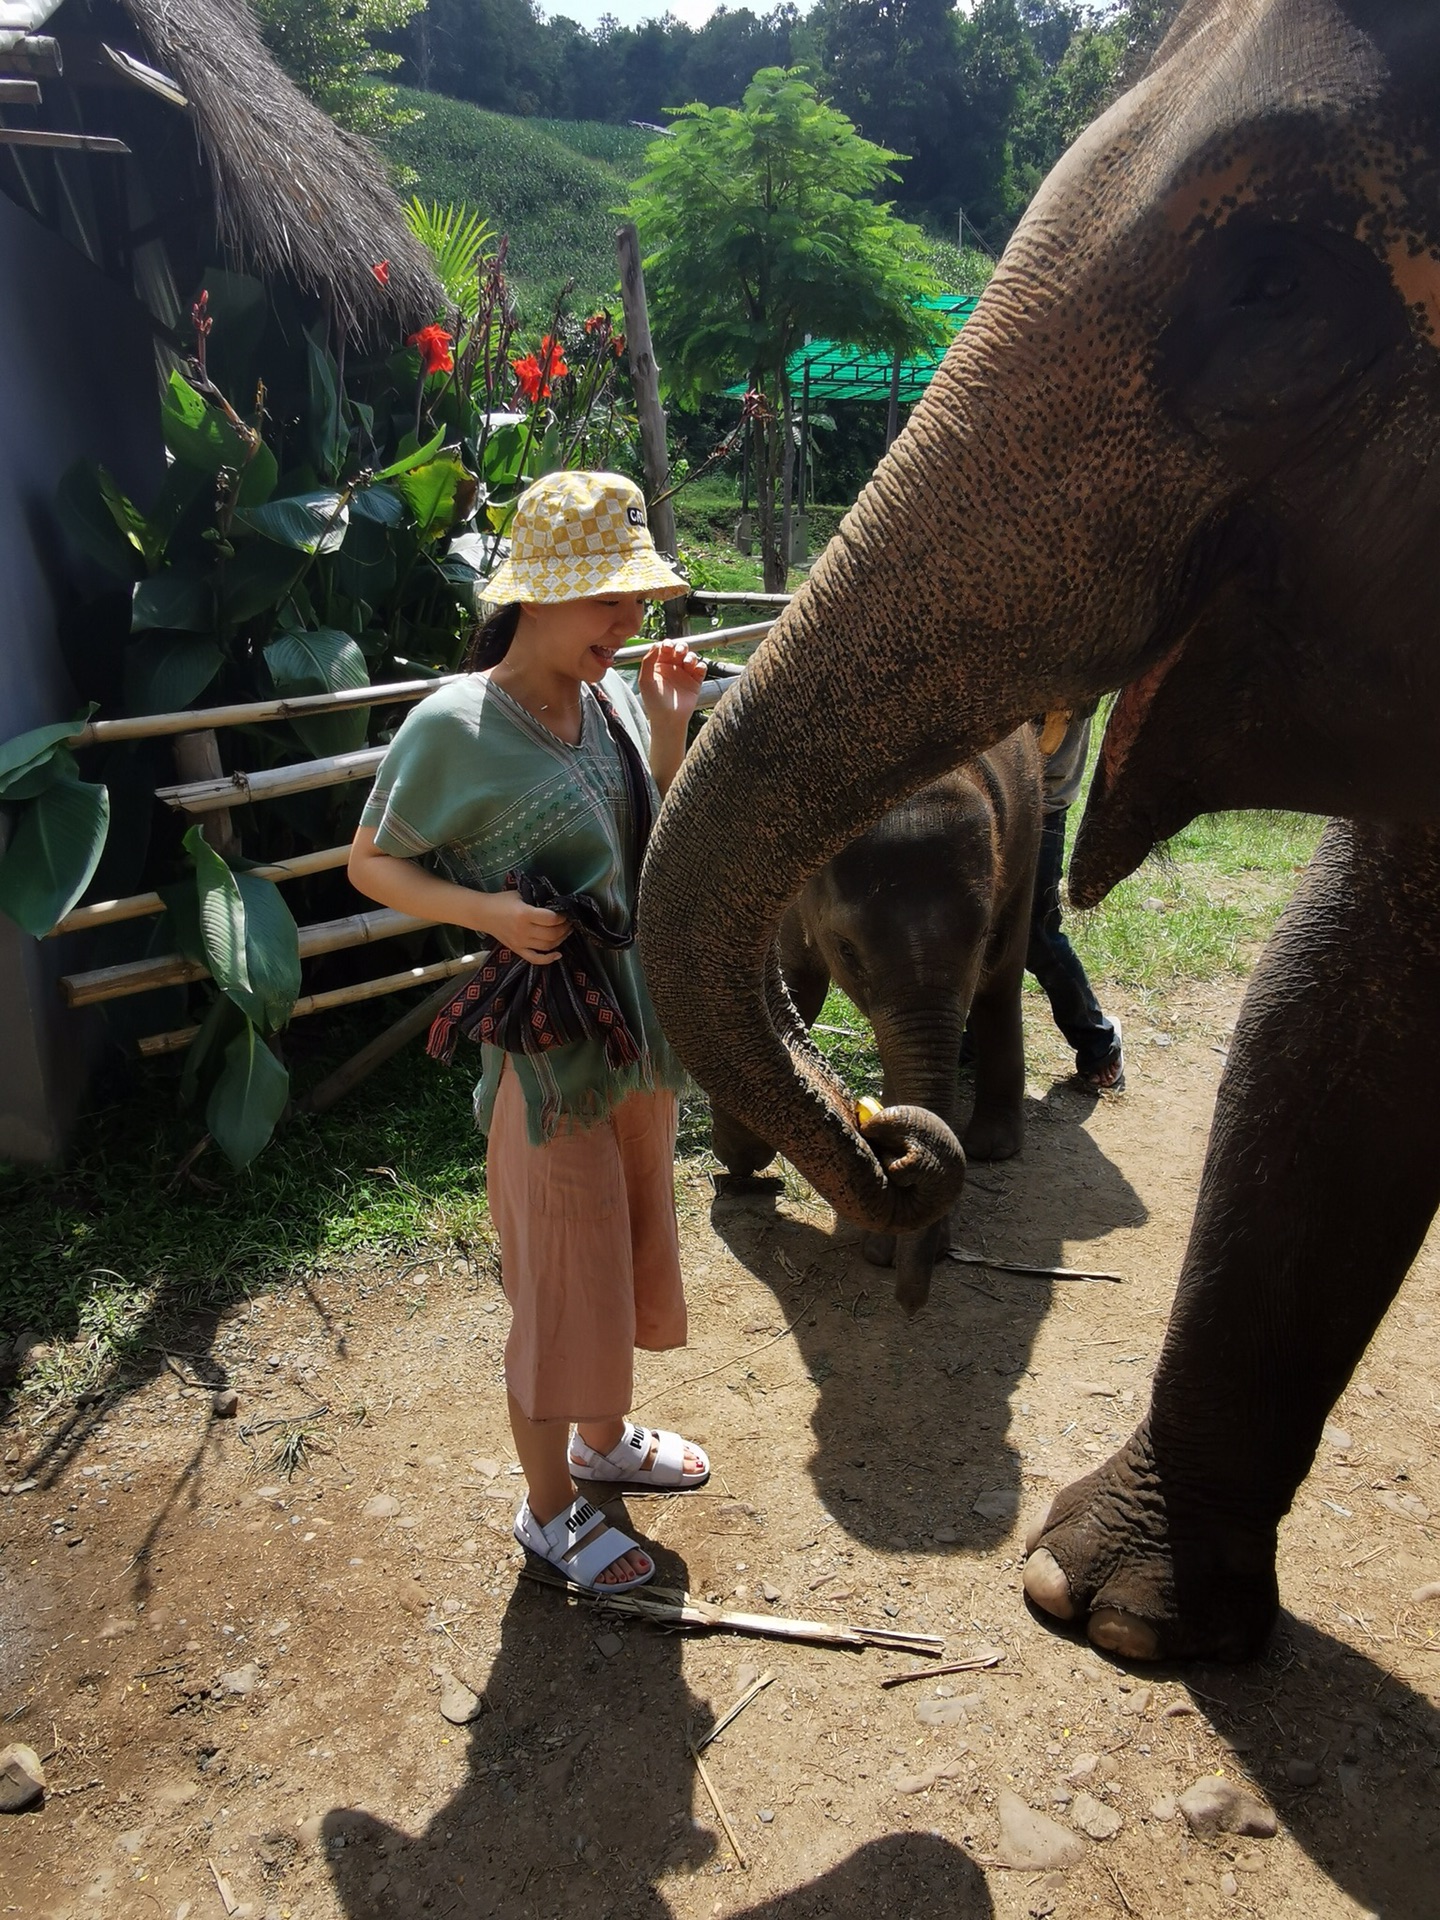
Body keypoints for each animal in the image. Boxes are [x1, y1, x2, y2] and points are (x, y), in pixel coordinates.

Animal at [718, 725, 1044, 1313]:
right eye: (848, 951)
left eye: (980, 937)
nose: (893, 1146)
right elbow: (795, 987)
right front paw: (743, 1158)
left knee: (1004, 977)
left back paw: (992, 1145)